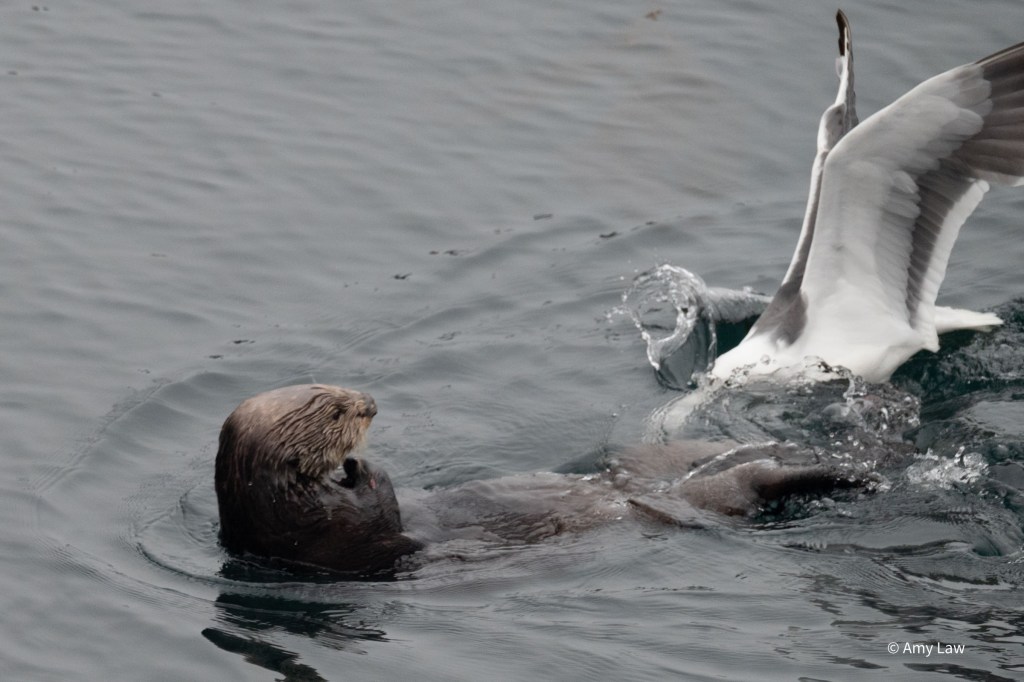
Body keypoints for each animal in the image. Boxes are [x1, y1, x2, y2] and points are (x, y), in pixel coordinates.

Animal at [214, 384, 866, 574]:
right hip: (710, 494)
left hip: (652, 458)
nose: (370, 403)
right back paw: (848, 473)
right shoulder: (334, 542)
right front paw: (361, 468)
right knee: (756, 483)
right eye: (333, 409)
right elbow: (379, 519)